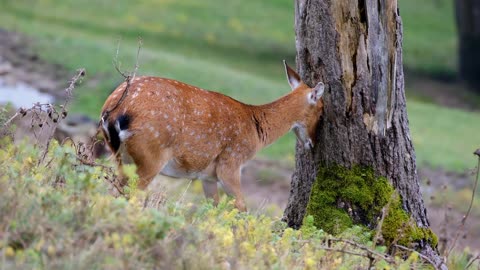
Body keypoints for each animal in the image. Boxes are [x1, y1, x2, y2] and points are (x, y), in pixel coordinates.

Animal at [101, 61, 326, 211]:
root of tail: (113, 111)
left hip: (121, 157)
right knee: (131, 196)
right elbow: (241, 207)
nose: (313, 143)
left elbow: (213, 208)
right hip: (151, 156)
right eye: (322, 111)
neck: (255, 130)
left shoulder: (207, 176)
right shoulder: (231, 163)